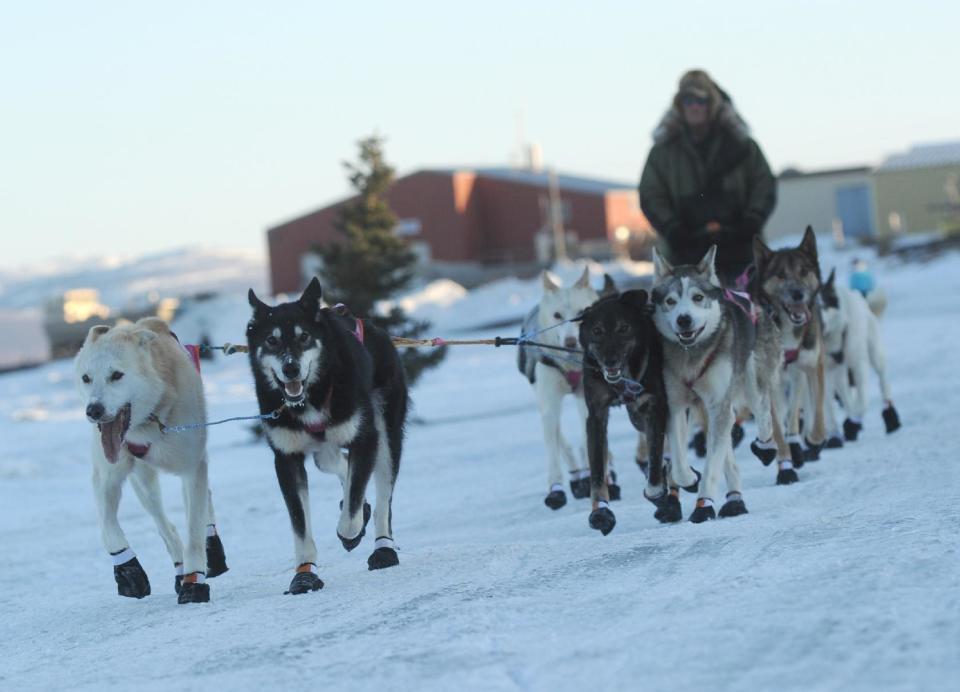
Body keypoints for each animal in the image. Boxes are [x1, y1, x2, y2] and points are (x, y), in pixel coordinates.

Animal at [74, 316, 228, 604]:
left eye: (116, 375)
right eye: (86, 378)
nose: (94, 410)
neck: (150, 422)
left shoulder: (193, 467)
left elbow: (194, 530)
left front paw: (195, 582)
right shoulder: (106, 476)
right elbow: (107, 527)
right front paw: (127, 569)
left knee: (203, 506)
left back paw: (209, 551)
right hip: (144, 484)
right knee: (165, 526)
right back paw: (178, 568)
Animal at [246, 278, 406, 592]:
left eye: (304, 337)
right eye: (271, 340)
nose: (290, 368)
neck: (311, 397)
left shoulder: (365, 439)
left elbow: (353, 508)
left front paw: (351, 531)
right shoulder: (286, 458)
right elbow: (300, 524)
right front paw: (304, 573)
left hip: (386, 435)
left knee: (383, 496)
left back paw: (383, 547)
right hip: (324, 450)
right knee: (335, 461)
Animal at [752, 227, 828, 482]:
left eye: (804, 271)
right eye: (780, 275)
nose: (797, 294)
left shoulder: (813, 365)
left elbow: (818, 408)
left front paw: (814, 440)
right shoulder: (766, 380)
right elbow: (776, 426)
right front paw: (784, 466)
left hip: (796, 375)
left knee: (794, 409)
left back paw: (797, 443)